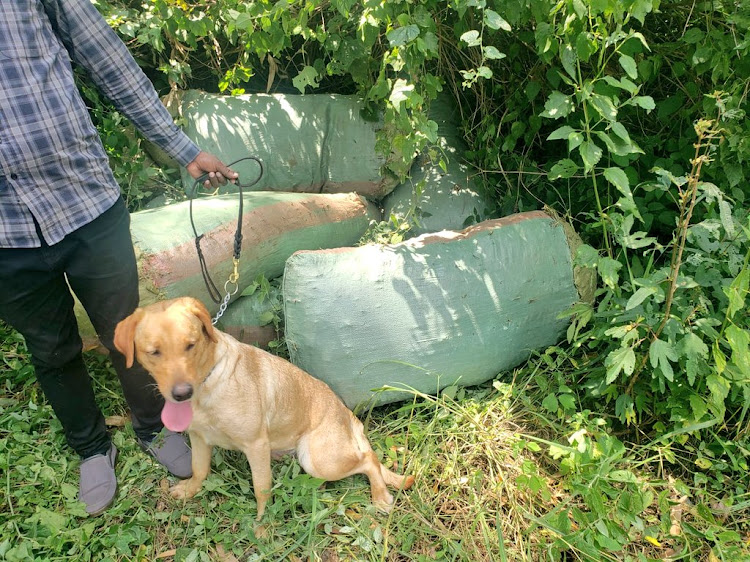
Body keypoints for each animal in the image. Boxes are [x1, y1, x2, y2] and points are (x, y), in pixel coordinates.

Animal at [114, 296, 414, 520]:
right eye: (153, 352)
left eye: (191, 345)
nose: (181, 393)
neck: (208, 386)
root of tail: (348, 415)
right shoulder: (199, 438)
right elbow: (199, 469)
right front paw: (191, 490)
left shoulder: (256, 445)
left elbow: (261, 490)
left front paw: (262, 526)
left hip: (317, 460)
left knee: (369, 459)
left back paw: (380, 495)